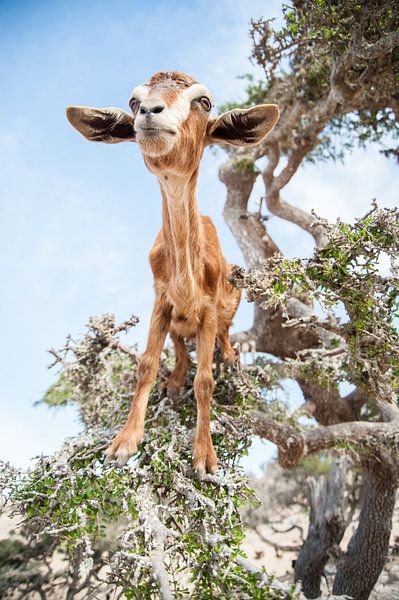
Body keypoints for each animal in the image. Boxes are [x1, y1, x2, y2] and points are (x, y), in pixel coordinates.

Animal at [67, 70, 280, 476]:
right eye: (134, 101)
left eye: (204, 102)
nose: (150, 112)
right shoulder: (160, 299)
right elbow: (148, 364)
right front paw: (123, 443)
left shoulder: (209, 307)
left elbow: (205, 379)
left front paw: (205, 457)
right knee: (180, 345)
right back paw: (175, 379)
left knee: (222, 337)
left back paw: (230, 357)